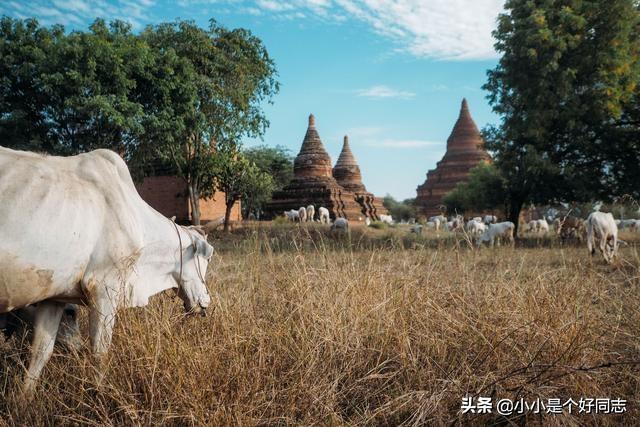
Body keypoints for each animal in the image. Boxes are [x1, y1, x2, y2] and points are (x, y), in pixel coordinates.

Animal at [0, 147, 215, 392]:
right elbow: (100, 353)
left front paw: (23, 399)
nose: (206, 301)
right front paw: (99, 393)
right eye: (208, 257)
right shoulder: (104, 289)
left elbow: (39, 355)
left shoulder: (54, 297)